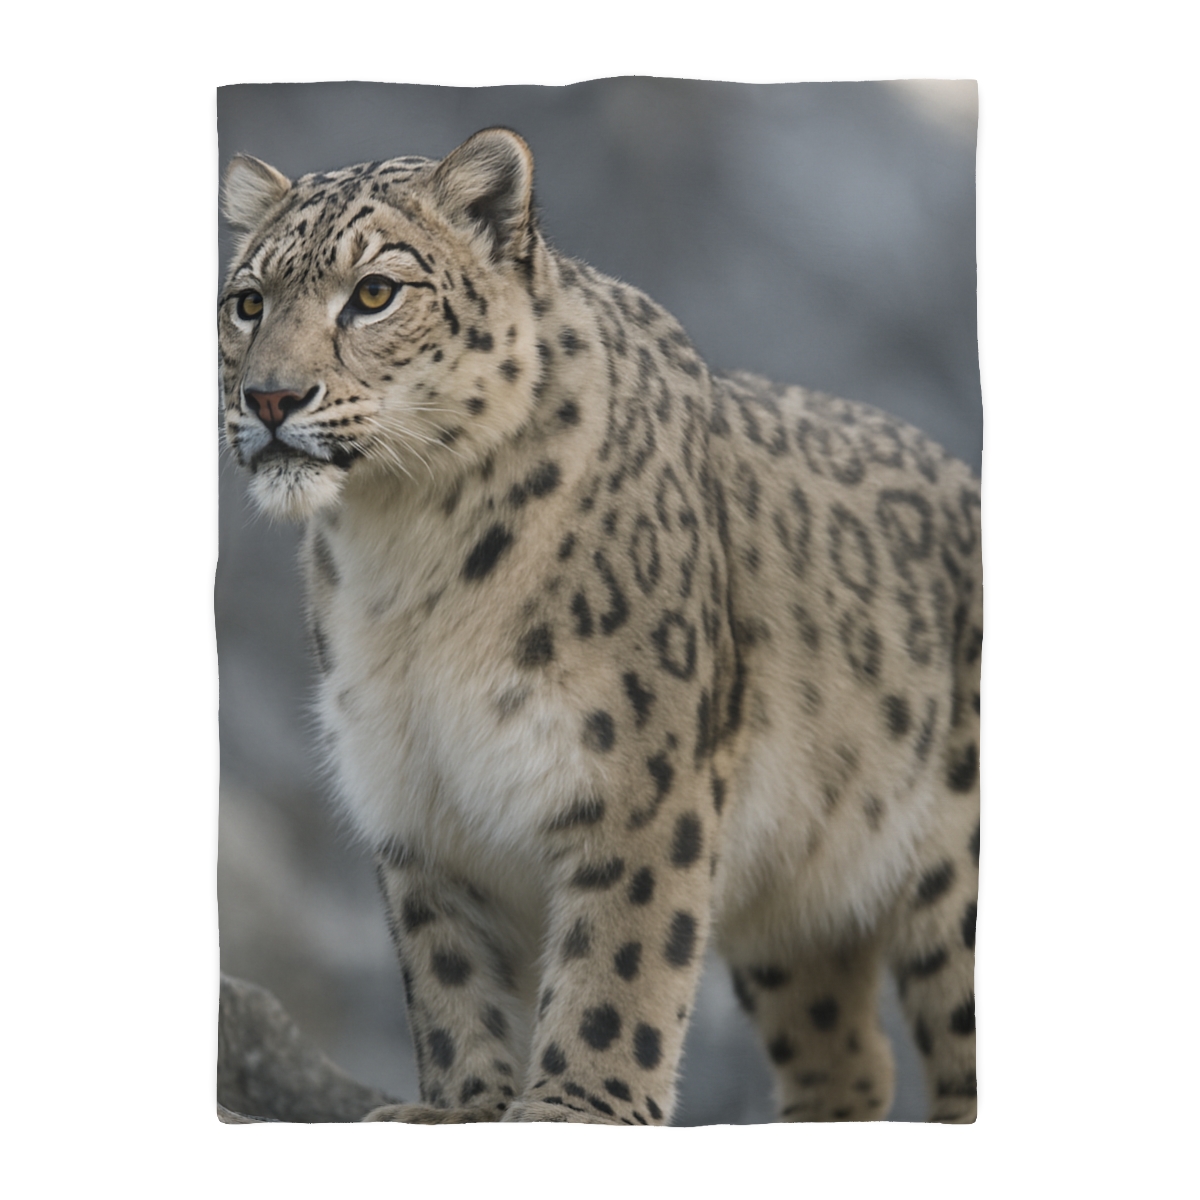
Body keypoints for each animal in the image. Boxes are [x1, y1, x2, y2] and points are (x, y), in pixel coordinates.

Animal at [217, 127, 981, 1125]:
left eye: (375, 293)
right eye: (247, 302)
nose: (270, 399)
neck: (407, 557)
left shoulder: (638, 776)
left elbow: (620, 954)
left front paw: (575, 1105)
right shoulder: (412, 796)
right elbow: (446, 970)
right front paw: (457, 1108)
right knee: (847, 1058)